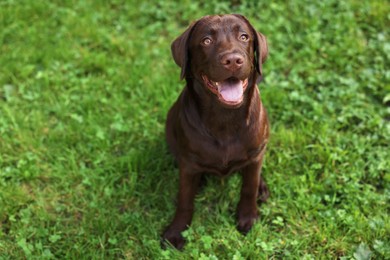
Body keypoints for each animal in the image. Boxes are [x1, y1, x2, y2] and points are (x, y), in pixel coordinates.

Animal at [163, 14, 270, 250]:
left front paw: (248, 218)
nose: (233, 60)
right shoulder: (188, 163)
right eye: (206, 41)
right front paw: (177, 231)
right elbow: (185, 199)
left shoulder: (255, 154)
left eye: (244, 37)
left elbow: (248, 187)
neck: (225, 118)